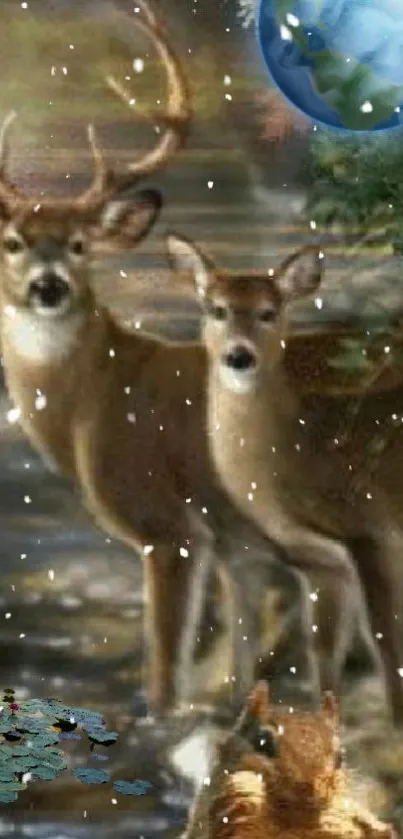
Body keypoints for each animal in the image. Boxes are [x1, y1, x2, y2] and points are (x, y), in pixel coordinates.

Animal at [166, 236, 403, 728]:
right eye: (217, 309)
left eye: (268, 312)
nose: (239, 356)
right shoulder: (321, 560)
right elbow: (324, 647)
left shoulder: (373, 526)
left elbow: (386, 640)